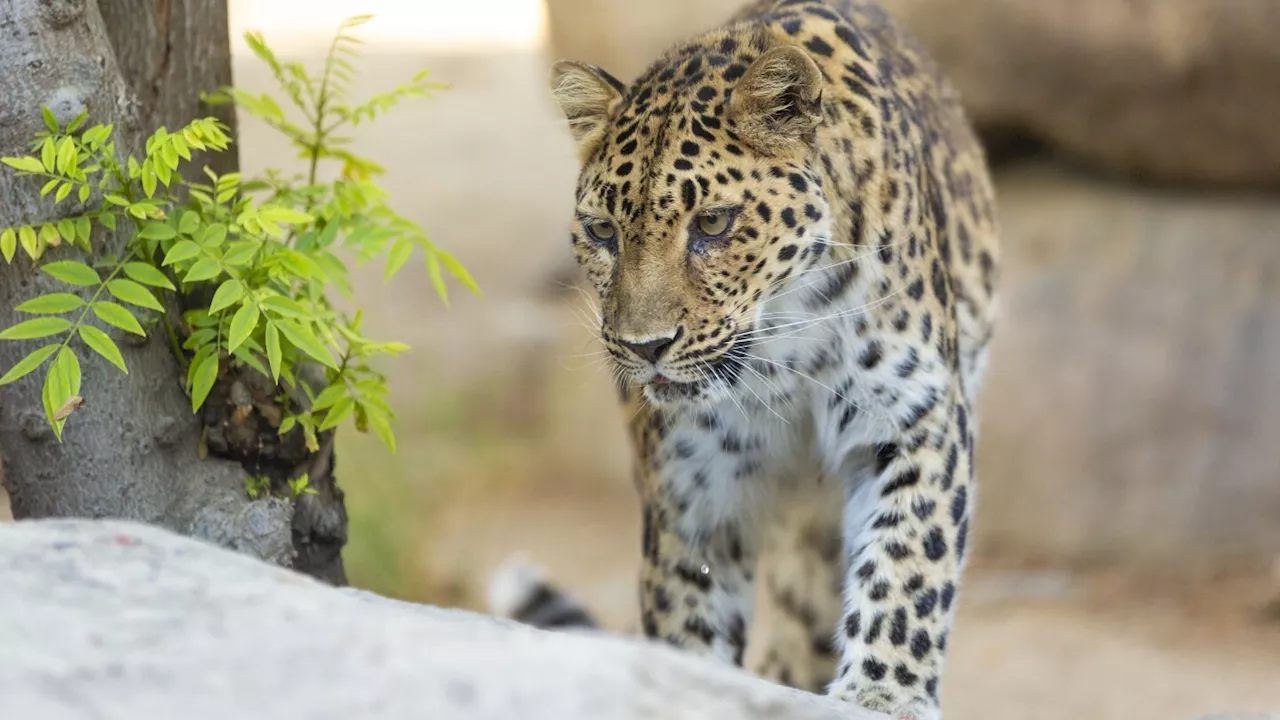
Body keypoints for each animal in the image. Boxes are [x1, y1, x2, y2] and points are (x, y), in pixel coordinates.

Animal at [483, 2, 993, 712]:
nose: (645, 348)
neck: (784, 347)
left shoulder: (916, 412)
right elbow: (689, 610)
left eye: (714, 224)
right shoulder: (693, 479)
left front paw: (883, 692)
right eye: (603, 232)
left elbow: (910, 562)